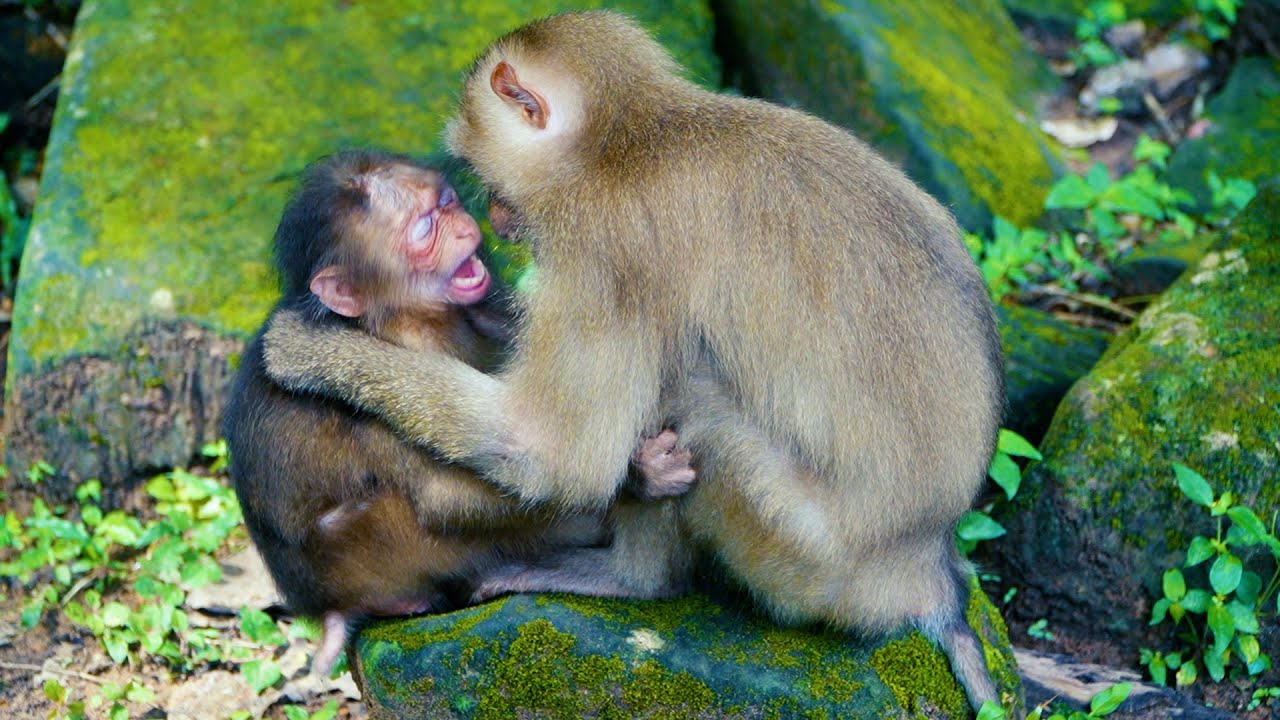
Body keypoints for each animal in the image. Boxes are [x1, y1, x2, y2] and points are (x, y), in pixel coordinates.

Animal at [223, 149, 694, 677]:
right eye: (425, 228)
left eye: (446, 203)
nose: (467, 228)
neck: (399, 317)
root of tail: (327, 606)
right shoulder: (359, 409)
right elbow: (445, 496)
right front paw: (641, 474)